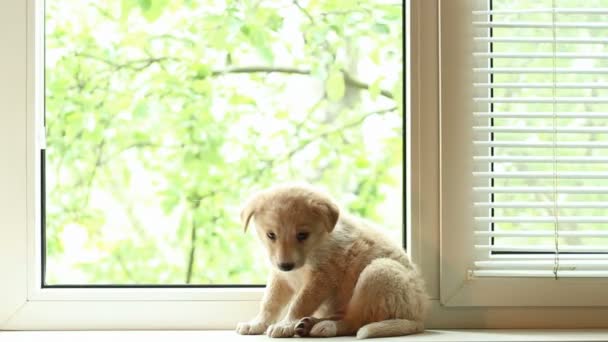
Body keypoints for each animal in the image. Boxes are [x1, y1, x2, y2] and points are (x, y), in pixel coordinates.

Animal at [234, 183, 428, 338]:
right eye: (271, 235)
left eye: (302, 235)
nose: (286, 265)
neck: (317, 244)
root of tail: (418, 317)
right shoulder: (280, 275)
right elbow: (269, 302)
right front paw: (257, 323)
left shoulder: (323, 276)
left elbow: (300, 302)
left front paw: (286, 324)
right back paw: (309, 324)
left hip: (379, 271)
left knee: (354, 321)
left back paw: (326, 327)